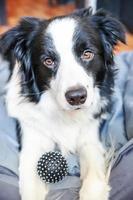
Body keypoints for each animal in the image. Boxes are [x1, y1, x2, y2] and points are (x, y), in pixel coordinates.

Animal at [0, 7, 124, 200]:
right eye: (48, 61)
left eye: (87, 54)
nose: (77, 97)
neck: (65, 115)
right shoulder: (31, 144)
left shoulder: (91, 139)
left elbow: (93, 175)